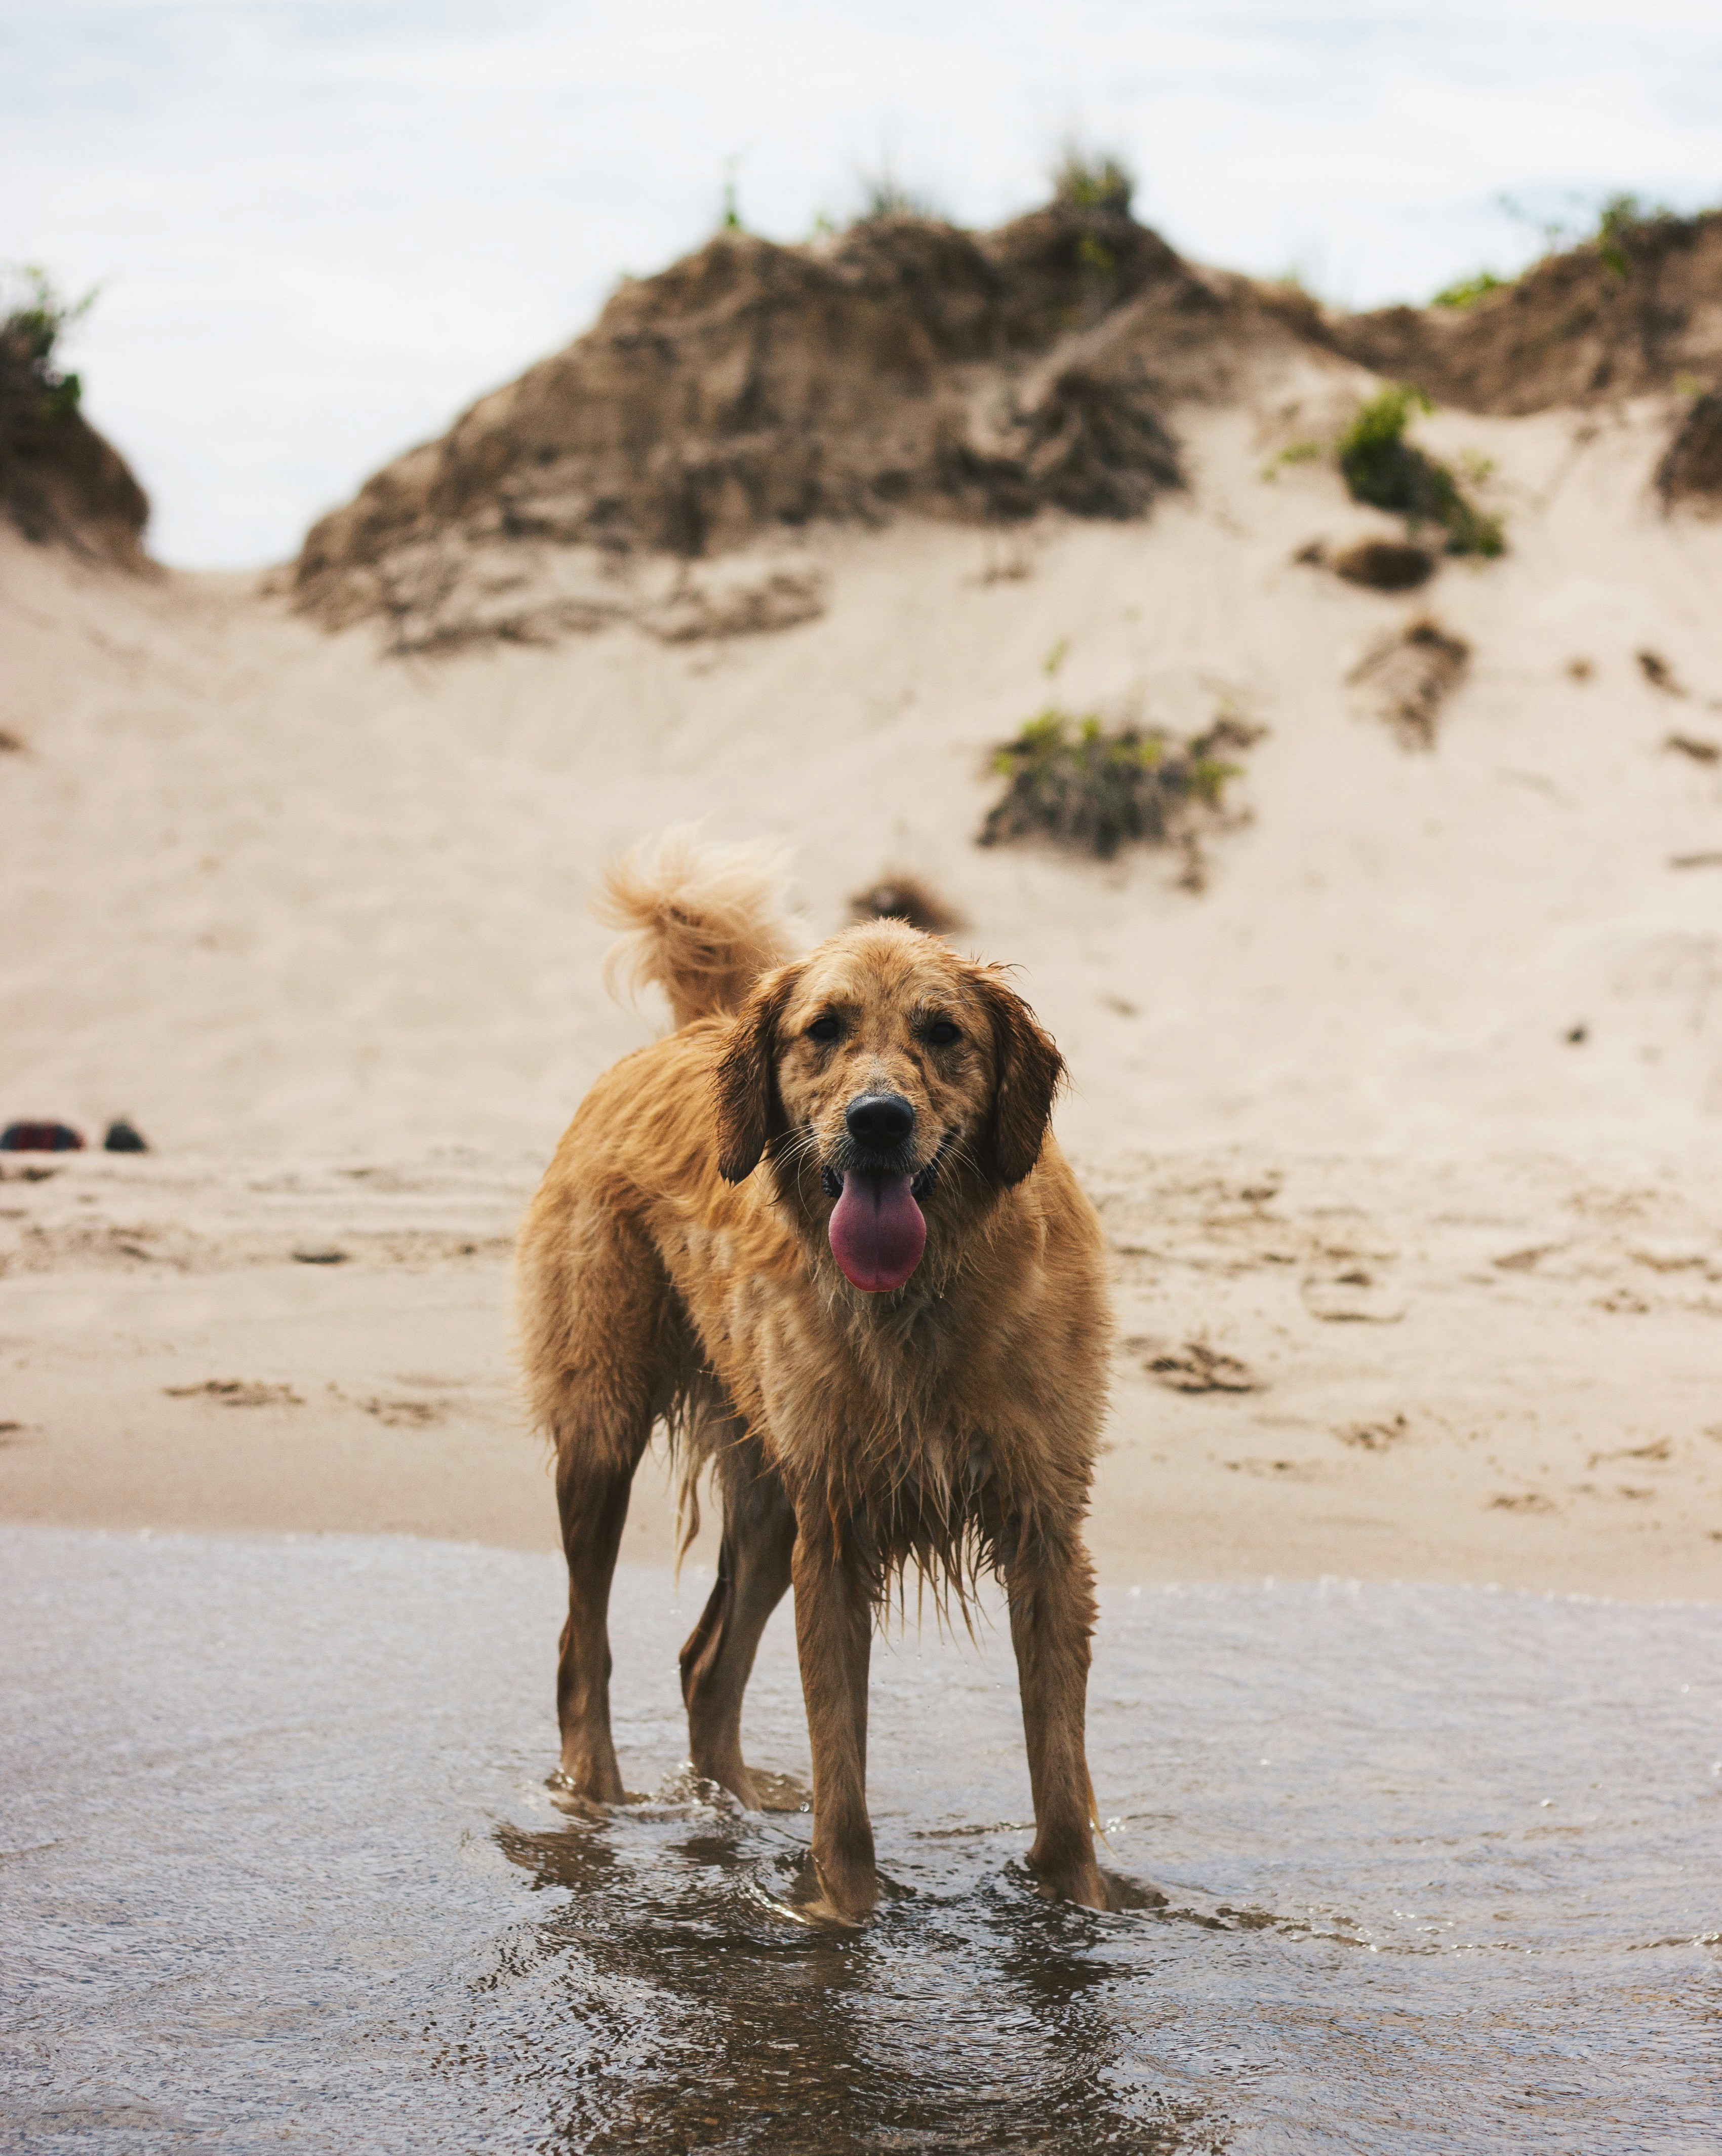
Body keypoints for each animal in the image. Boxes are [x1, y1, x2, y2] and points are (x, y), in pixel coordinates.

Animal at [515, 828, 1120, 1923]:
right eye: (823, 1029)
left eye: (942, 1031)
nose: (878, 1120)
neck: (921, 1299)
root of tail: (697, 1027)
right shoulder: (836, 1531)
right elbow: (842, 1776)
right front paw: (840, 1917)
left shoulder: (1043, 1528)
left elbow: (1059, 1777)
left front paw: (1077, 1912)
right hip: (606, 1427)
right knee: (583, 1644)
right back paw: (598, 1808)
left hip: (767, 1495)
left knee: (703, 1665)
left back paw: (732, 1810)